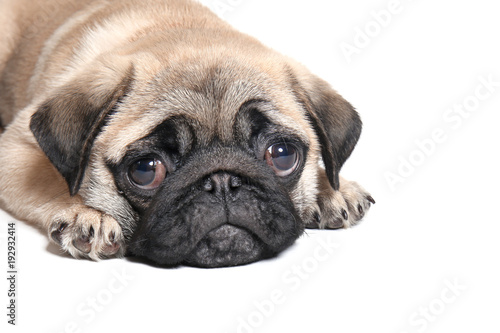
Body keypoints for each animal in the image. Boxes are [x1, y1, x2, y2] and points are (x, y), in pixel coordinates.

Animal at [0, 0, 374, 266]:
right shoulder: (16, 148)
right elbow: (48, 179)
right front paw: (83, 213)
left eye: (281, 155)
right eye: (146, 169)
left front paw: (331, 188)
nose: (222, 181)